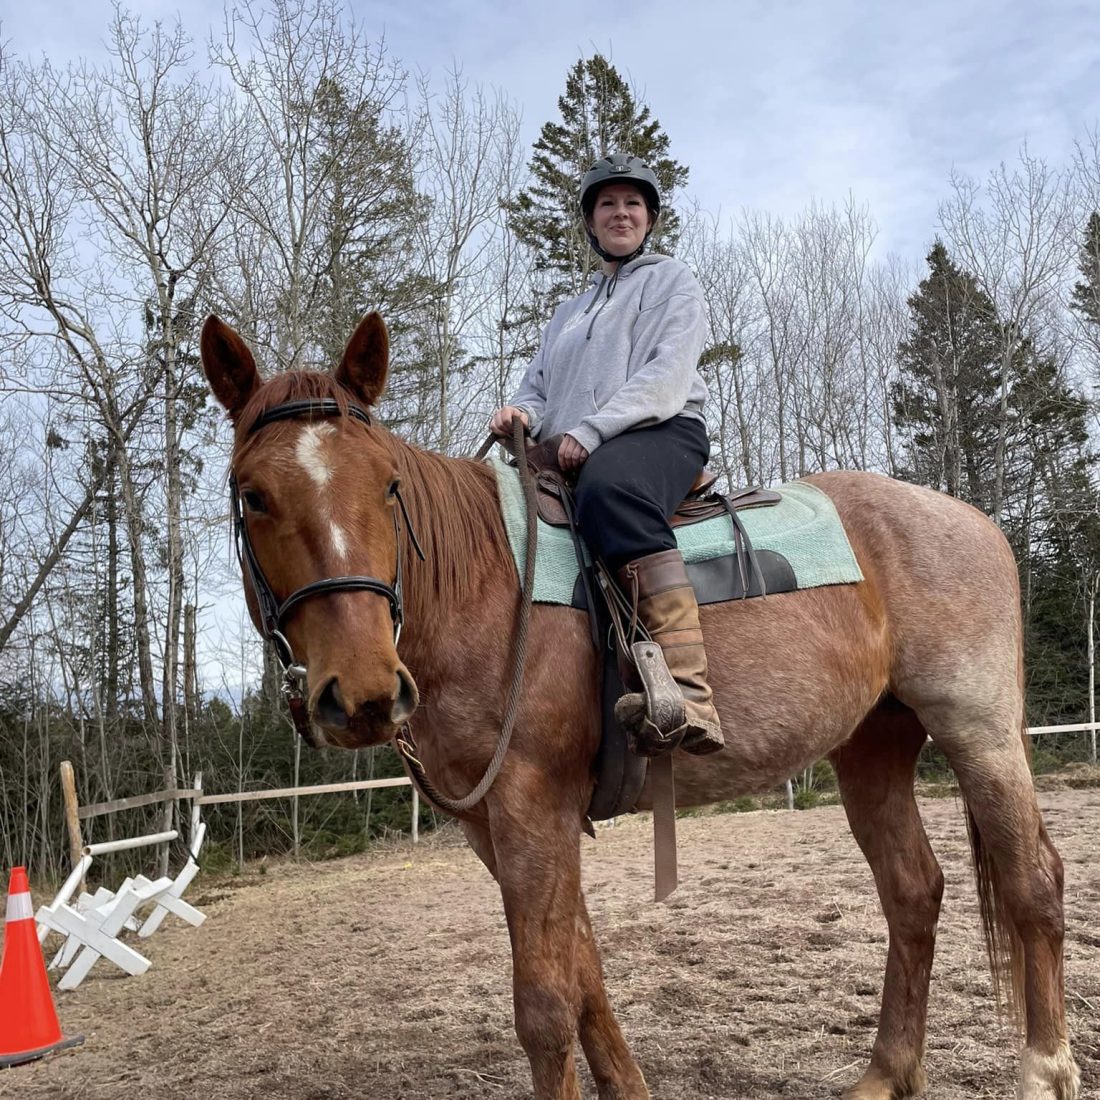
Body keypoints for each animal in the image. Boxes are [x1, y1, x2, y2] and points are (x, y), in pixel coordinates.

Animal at [200, 311, 1080, 1100]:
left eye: (387, 485)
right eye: (253, 496)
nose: (364, 693)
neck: (485, 589)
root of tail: (968, 518)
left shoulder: (531, 807)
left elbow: (545, 1006)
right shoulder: (499, 826)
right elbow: (585, 977)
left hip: (978, 729)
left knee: (1031, 881)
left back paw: (1043, 1072)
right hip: (872, 745)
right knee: (912, 890)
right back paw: (885, 1075)